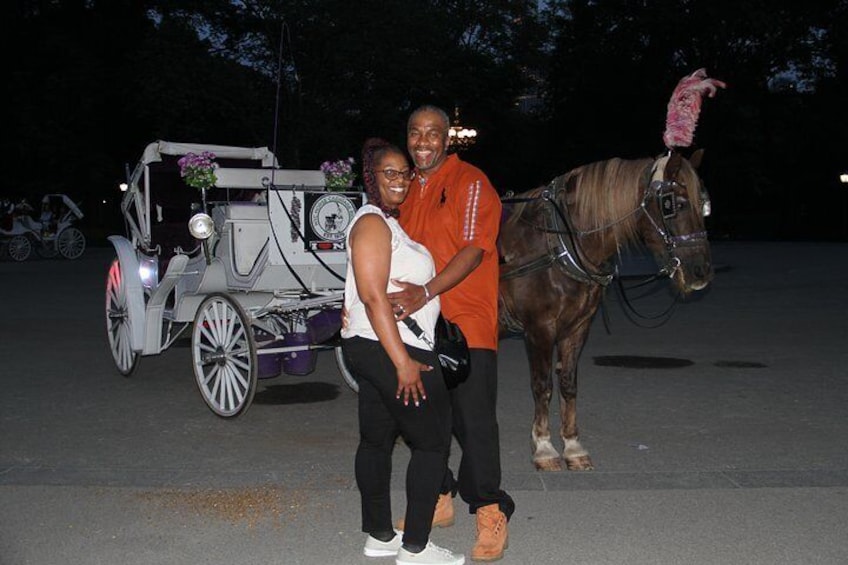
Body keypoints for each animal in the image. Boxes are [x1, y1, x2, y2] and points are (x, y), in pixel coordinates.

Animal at [500, 150, 712, 472]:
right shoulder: (539, 329)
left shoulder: (577, 327)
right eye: (674, 204)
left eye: (704, 204)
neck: (560, 242)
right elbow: (542, 385)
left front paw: (572, 446)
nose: (700, 271)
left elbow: (568, 384)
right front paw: (544, 448)